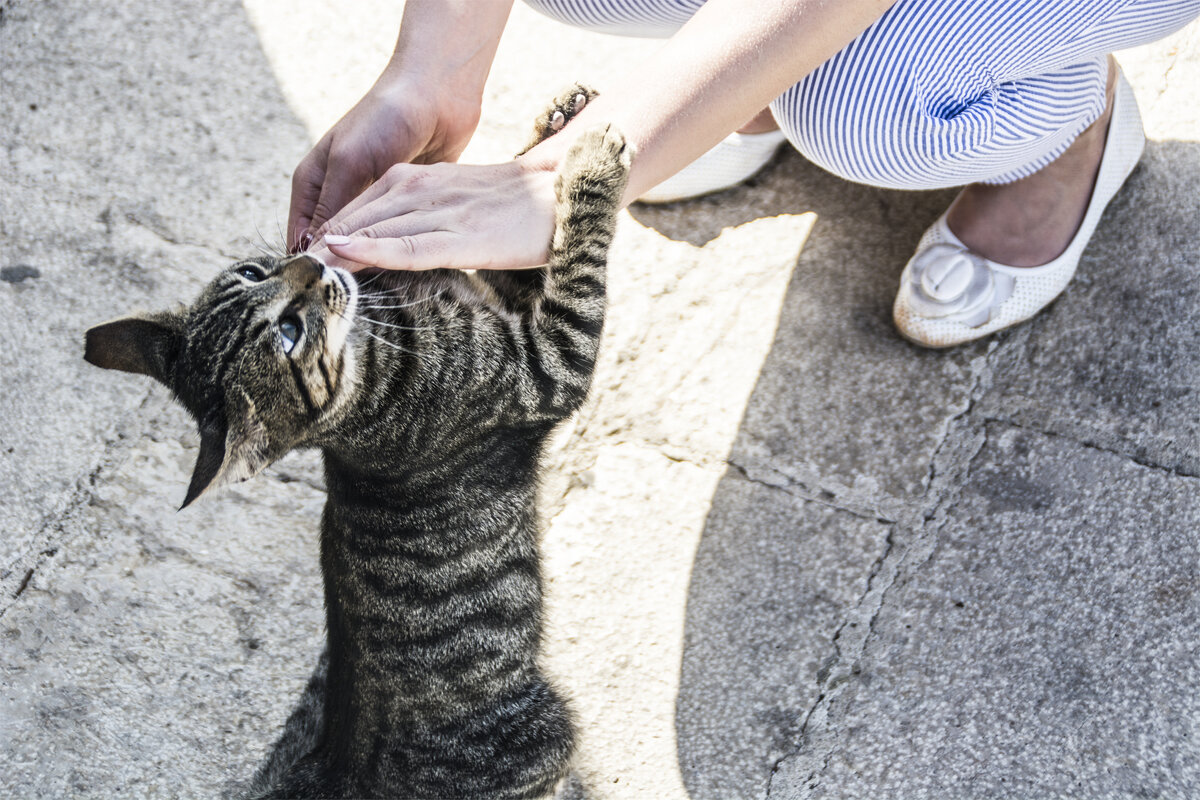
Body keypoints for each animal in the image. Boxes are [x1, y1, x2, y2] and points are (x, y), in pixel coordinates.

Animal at [84, 84, 628, 796]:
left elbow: (514, 260)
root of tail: (336, 777)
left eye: (256, 270)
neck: (373, 346)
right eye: (288, 333)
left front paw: (558, 122)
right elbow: (575, 267)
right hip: (549, 729)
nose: (312, 261)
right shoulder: (548, 367)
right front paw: (590, 166)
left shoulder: (499, 300)